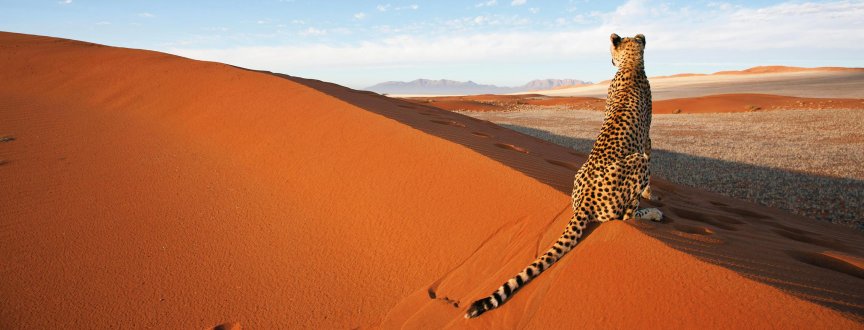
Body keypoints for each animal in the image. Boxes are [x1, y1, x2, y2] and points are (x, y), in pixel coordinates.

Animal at [466, 32, 660, 318]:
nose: (610, 61)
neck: (631, 66)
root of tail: (586, 201)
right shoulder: (645, 141)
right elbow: (651, 160)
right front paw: (652, 196)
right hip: (636, 165)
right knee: (624, 217)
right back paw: (653, 214)